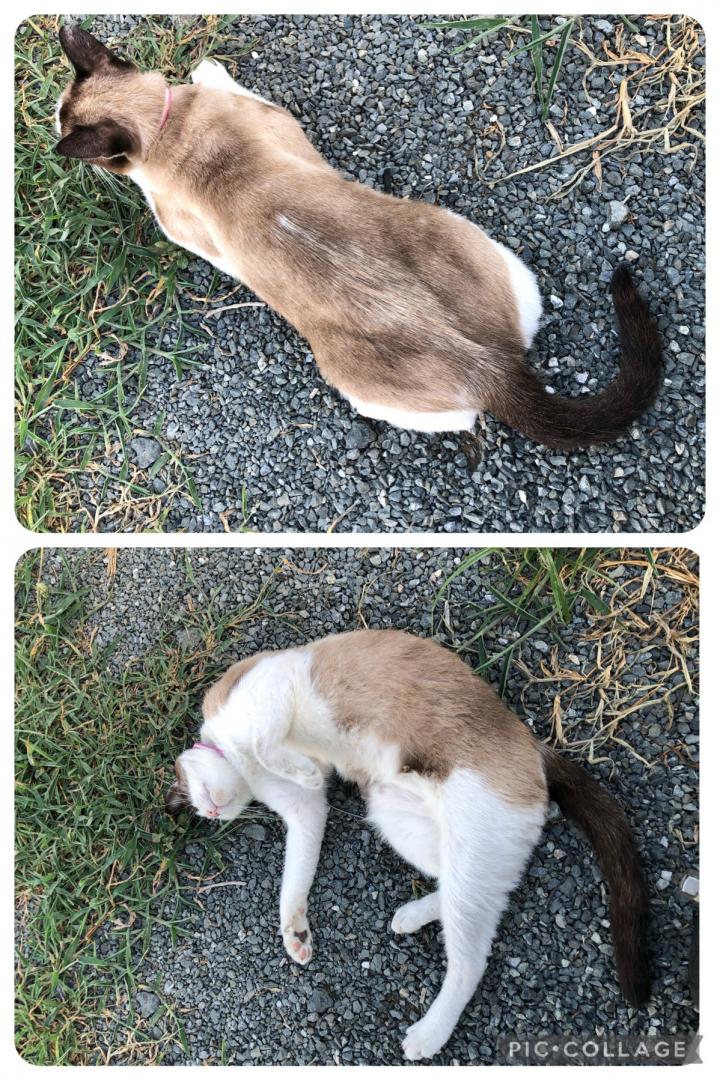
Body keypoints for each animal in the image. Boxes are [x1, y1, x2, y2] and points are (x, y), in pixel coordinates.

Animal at [55, 26, 663, 449]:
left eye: (61, 121)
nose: (53, 133)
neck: (166, 129)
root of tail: (492, 366)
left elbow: (212, 77)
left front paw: (201, 68)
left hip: (357, 385)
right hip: (482, 246)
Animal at [165, 628, 650, 1061]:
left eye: (200, 795)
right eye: (205, 810)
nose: (213, 814)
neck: (241, 764)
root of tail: (534, 747)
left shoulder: (274, 689)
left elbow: (266, 742)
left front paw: (300, 767)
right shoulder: (306, 812)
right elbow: (294, 882)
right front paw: (295, 934)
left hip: (460, 840)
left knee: (470, 959)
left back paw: (427, 1036)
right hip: (397, 816)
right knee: (470, 890)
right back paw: (412, 917)